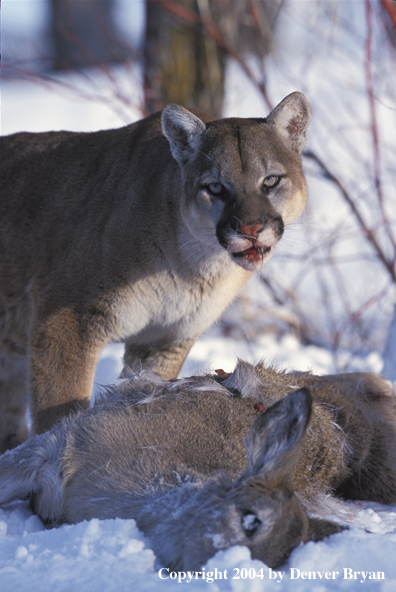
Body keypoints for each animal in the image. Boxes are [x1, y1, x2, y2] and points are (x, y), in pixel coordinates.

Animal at [0, 91, 310, 448]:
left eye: (270, 180)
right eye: (216, 187)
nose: (250, 229)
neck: (194, 266)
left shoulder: (165, 338)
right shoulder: (65, 321)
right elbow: (59, 411)